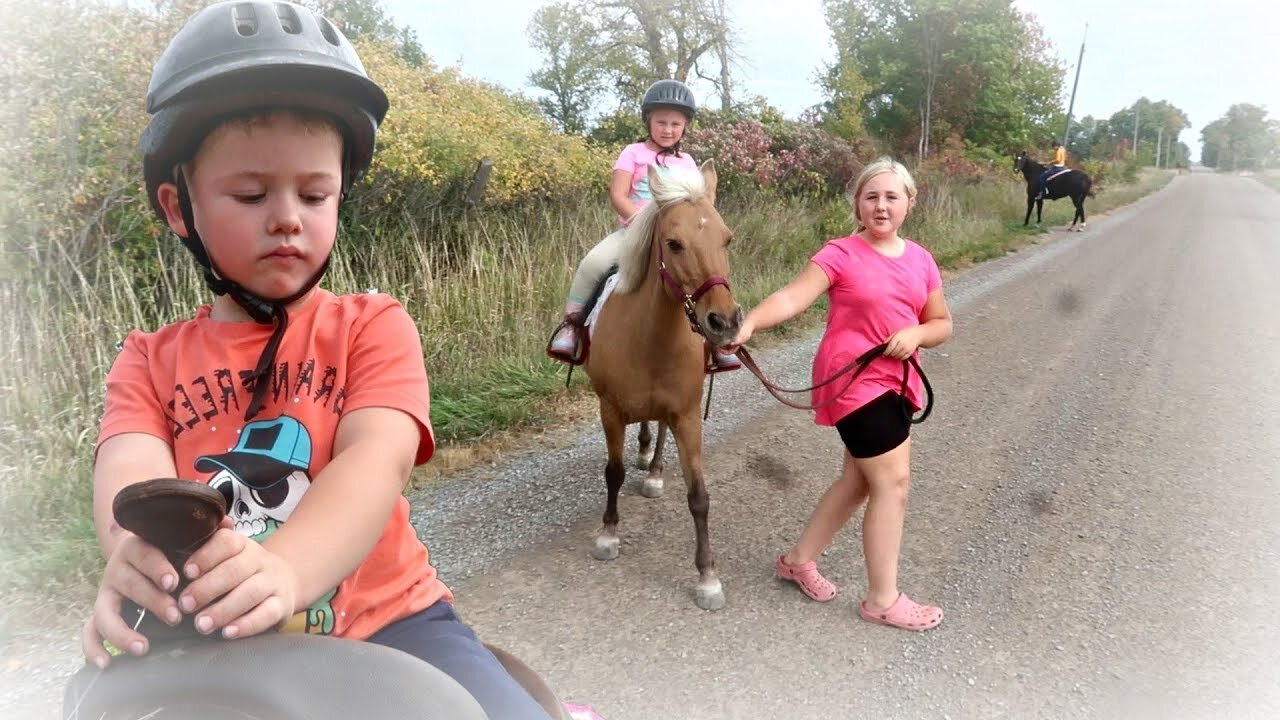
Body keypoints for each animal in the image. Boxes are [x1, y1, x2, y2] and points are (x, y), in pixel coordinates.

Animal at [583, 159, 742, 607]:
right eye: (673, 243)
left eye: (726, 239)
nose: (724, 323)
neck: (650, 337)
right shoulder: (609, 409)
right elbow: (613, 472)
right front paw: (608, 535)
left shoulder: (686, 413)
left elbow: (699, 497)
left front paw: (708, 577)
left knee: (660, 430)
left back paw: (653, 470)